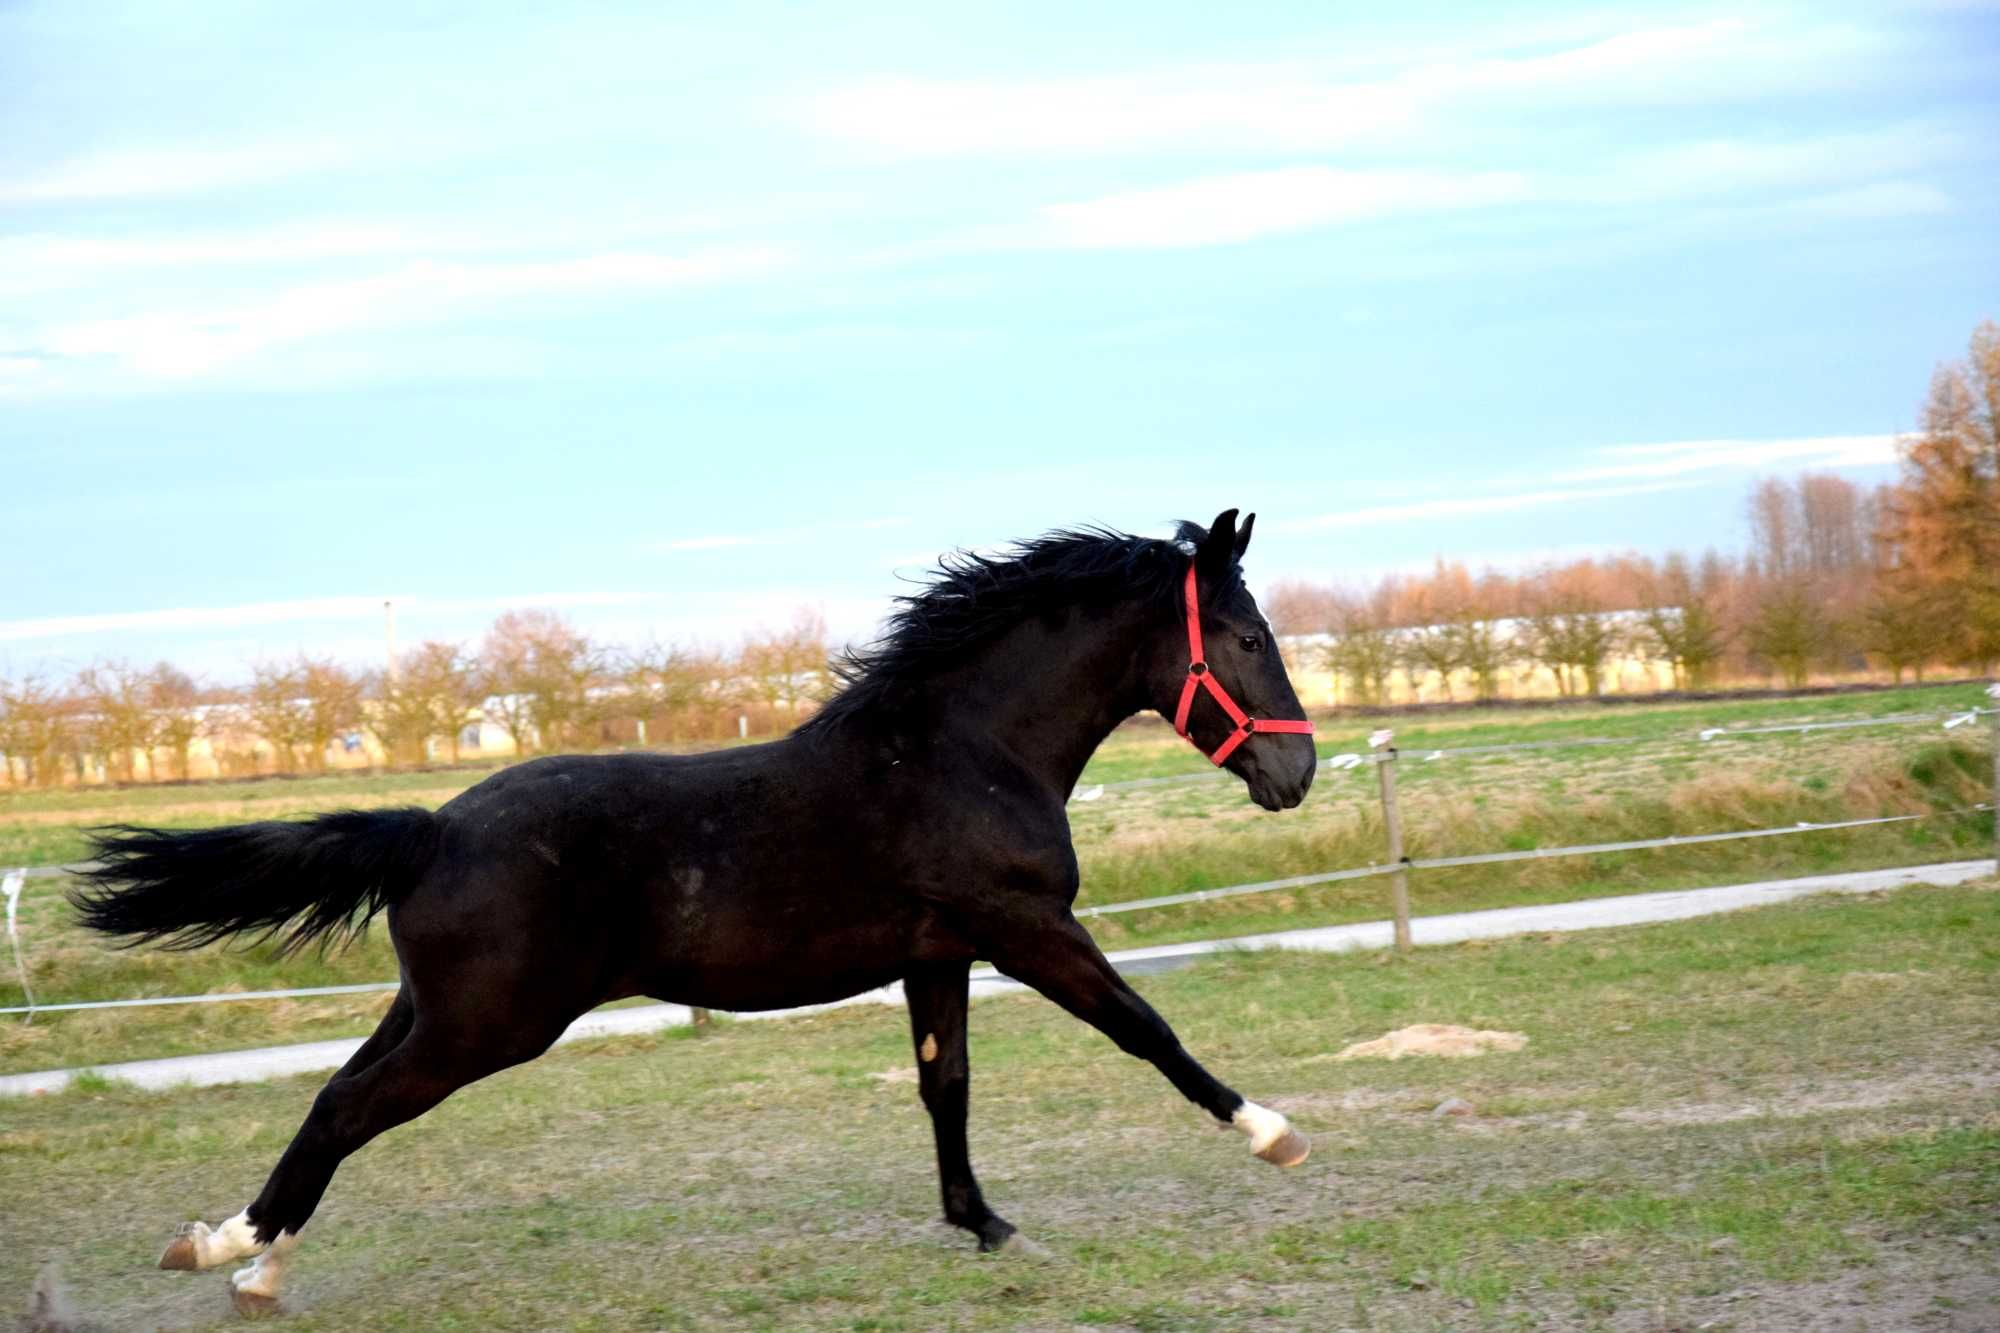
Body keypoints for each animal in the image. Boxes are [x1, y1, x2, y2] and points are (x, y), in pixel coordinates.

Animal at [78, 506, 1320, 1304]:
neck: (960, 755)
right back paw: (228, 1252)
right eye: (1247, 636)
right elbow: (1144, 1029)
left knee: (337, 1098)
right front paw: (1274, 1135)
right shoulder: (1024, 929)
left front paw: (985, 1225)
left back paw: (256, 1261)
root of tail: (429, 829)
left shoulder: (940, 953)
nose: (1295, 771)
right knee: (348, 1106)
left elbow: (945, 1086)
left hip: (432, 1011)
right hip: (488, 1025)